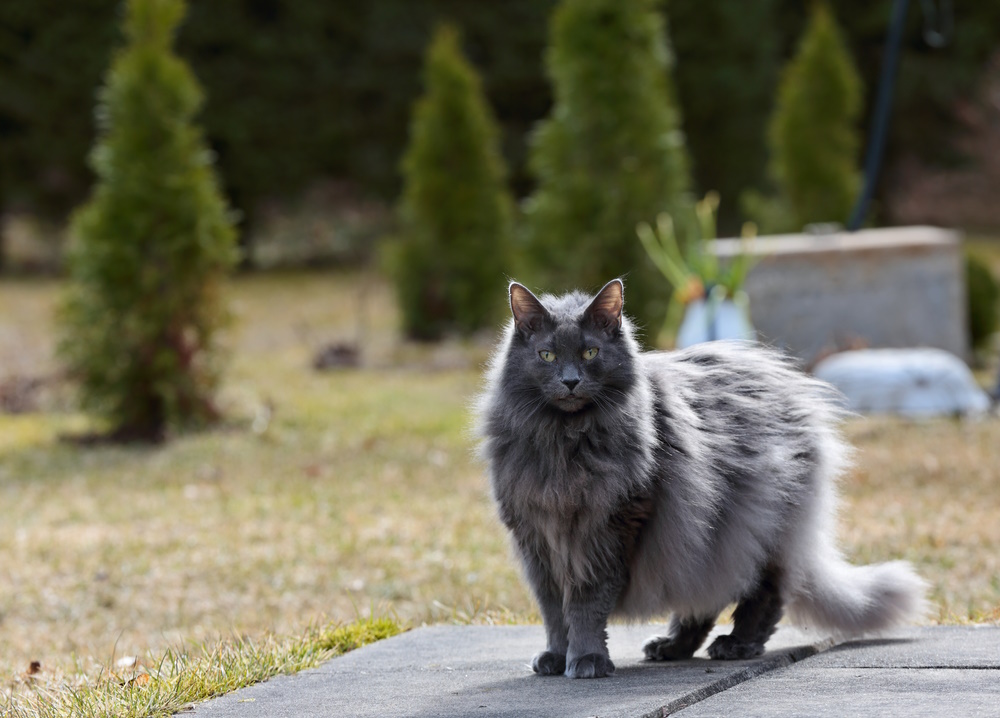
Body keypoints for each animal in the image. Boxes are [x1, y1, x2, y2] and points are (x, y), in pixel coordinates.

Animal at [476, 280, 928, 680]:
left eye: (590, 352)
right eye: (547, 355)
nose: (570, 381)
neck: (564, 443)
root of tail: (789, 387)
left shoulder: (608, 532)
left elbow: (585, 607)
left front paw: (586, 660)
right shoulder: (537, 541)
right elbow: (554, 612)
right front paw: (556, 657)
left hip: (753, 528)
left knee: (764, 593)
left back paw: (737, 644)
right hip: (705, 539)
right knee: (704, 602)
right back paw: (671, 647)